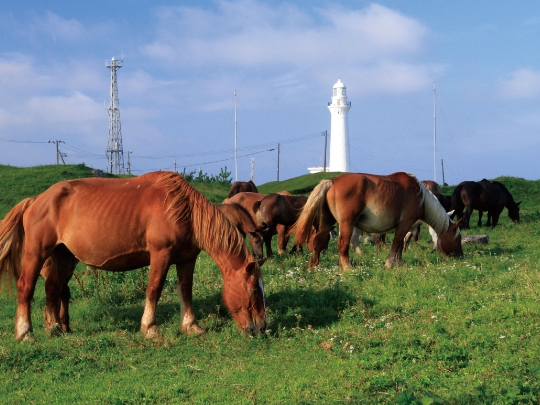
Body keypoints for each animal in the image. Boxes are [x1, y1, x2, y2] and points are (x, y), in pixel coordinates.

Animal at [0, 171, 266, 340]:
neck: (183, 209)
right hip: (37, 253)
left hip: (63, 256)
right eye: (254, 290)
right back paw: (25, 333)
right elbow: (154, 289)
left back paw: (55, 328)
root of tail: (36, 200)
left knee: (53, 289)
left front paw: (191, 326)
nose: (261, 329)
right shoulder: (161, 254)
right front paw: (149, 329)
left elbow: (185, 290)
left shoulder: (186, 259)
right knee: (26, 287)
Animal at [294, 170, 462, 268]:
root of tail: (332, 181)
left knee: (318, 241)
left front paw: (399, 263)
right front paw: (390, 264)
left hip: (326, 223)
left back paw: (313, 267)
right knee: (343, 244)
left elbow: (401, 245)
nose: (461, 257)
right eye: (458, 238)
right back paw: (348, 268)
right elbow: (396, 244)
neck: (421, 197)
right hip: (347, 224)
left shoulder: (405, 227)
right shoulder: (404, 225)